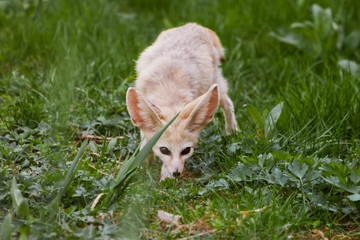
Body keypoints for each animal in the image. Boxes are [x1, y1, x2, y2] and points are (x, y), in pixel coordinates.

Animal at [126, 23, 239, 180]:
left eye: (186, 150)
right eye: (164, 150)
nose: (177, 173)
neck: (169, 91)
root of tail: (195, 25)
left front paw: (165, 176)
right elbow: (145, 144)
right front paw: (143, 164)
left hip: (215, 86)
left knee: (228, 103)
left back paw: (232, 132)